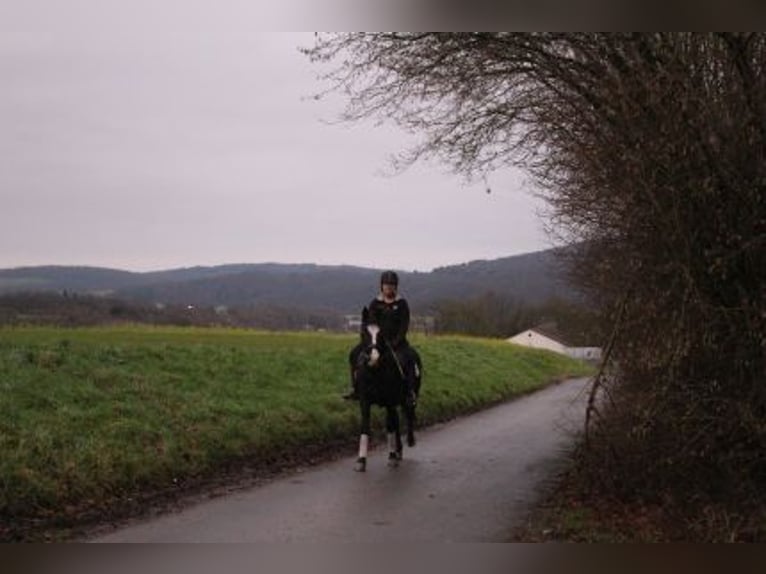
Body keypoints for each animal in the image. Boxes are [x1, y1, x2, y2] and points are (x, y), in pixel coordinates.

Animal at [352, 306, 420, 472]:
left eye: (381, 334)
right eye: (363, 332)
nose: (373, 358)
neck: (375, 372)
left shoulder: (389, 402)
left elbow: (389, 426)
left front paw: (391, 457)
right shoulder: (365, 401)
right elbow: (365, 426)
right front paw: (361, 460)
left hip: (407, 398)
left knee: (407, 416)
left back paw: (408, 442)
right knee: (396, 421)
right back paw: (398, 450)